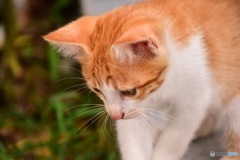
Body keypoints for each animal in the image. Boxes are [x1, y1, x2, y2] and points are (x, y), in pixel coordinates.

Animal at [43, 0, 240, 159]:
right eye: (97, 90)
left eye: (129, 91)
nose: (114, 115)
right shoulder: (132, 112)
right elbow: (132, 138)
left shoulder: (195, 99)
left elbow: (175, 139)